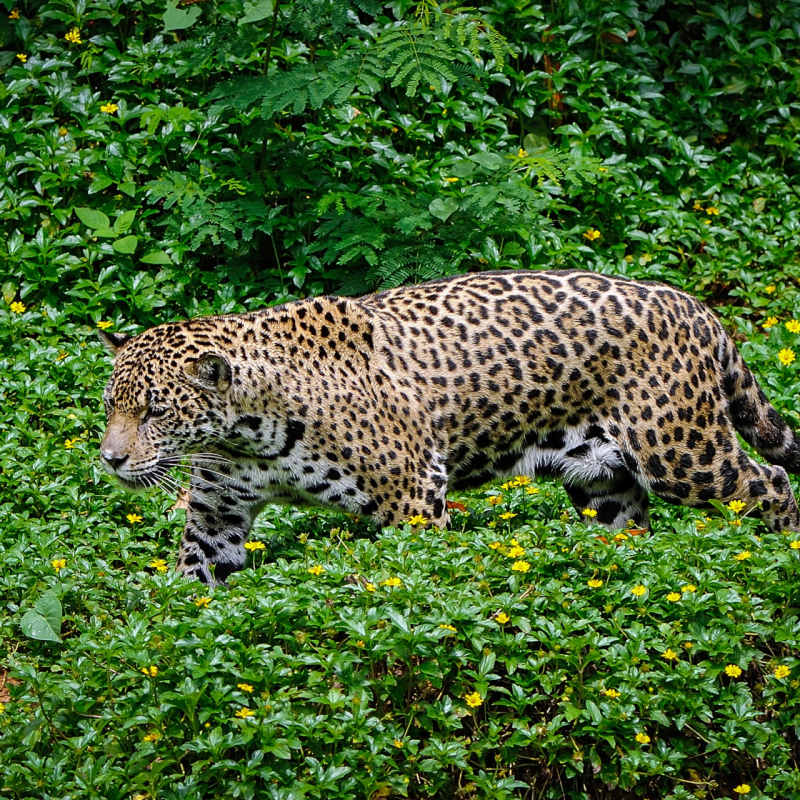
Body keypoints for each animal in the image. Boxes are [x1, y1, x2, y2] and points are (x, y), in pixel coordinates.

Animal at [99, 269, 800, 584]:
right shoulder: (217, 510)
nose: (109, 460)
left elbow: (416, 577)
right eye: (111, 406)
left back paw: (783, 552)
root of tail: (696, 306)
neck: (249, 433)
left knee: (771, 481)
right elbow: (198, 577)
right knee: (626, 522)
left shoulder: (412, 495)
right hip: (600, 475)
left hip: (681, 450)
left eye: (155, 410)